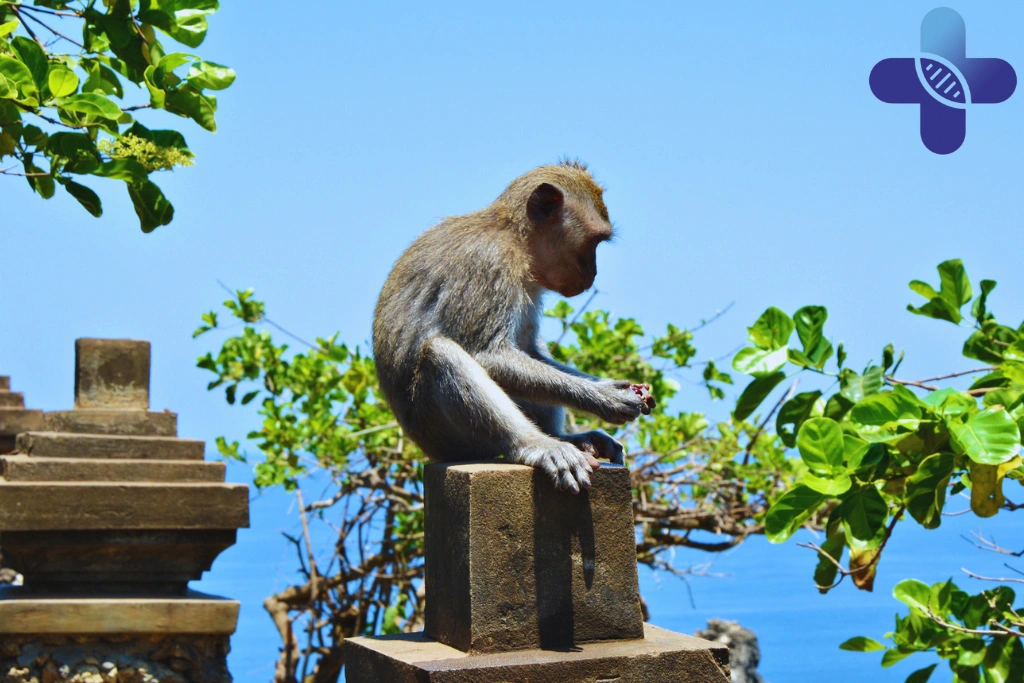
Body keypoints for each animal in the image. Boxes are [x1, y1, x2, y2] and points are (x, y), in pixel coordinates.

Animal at [372, 161, 652, 494]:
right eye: (595, 241)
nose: (593, 274)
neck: (515, 238)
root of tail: (427, 448)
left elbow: (529, 350)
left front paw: (603, 386)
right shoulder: (489, 264)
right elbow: (488, 355)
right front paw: (606, 398)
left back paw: (568, 438)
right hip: (441, 433)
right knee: (441, 354)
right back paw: (536, 444)